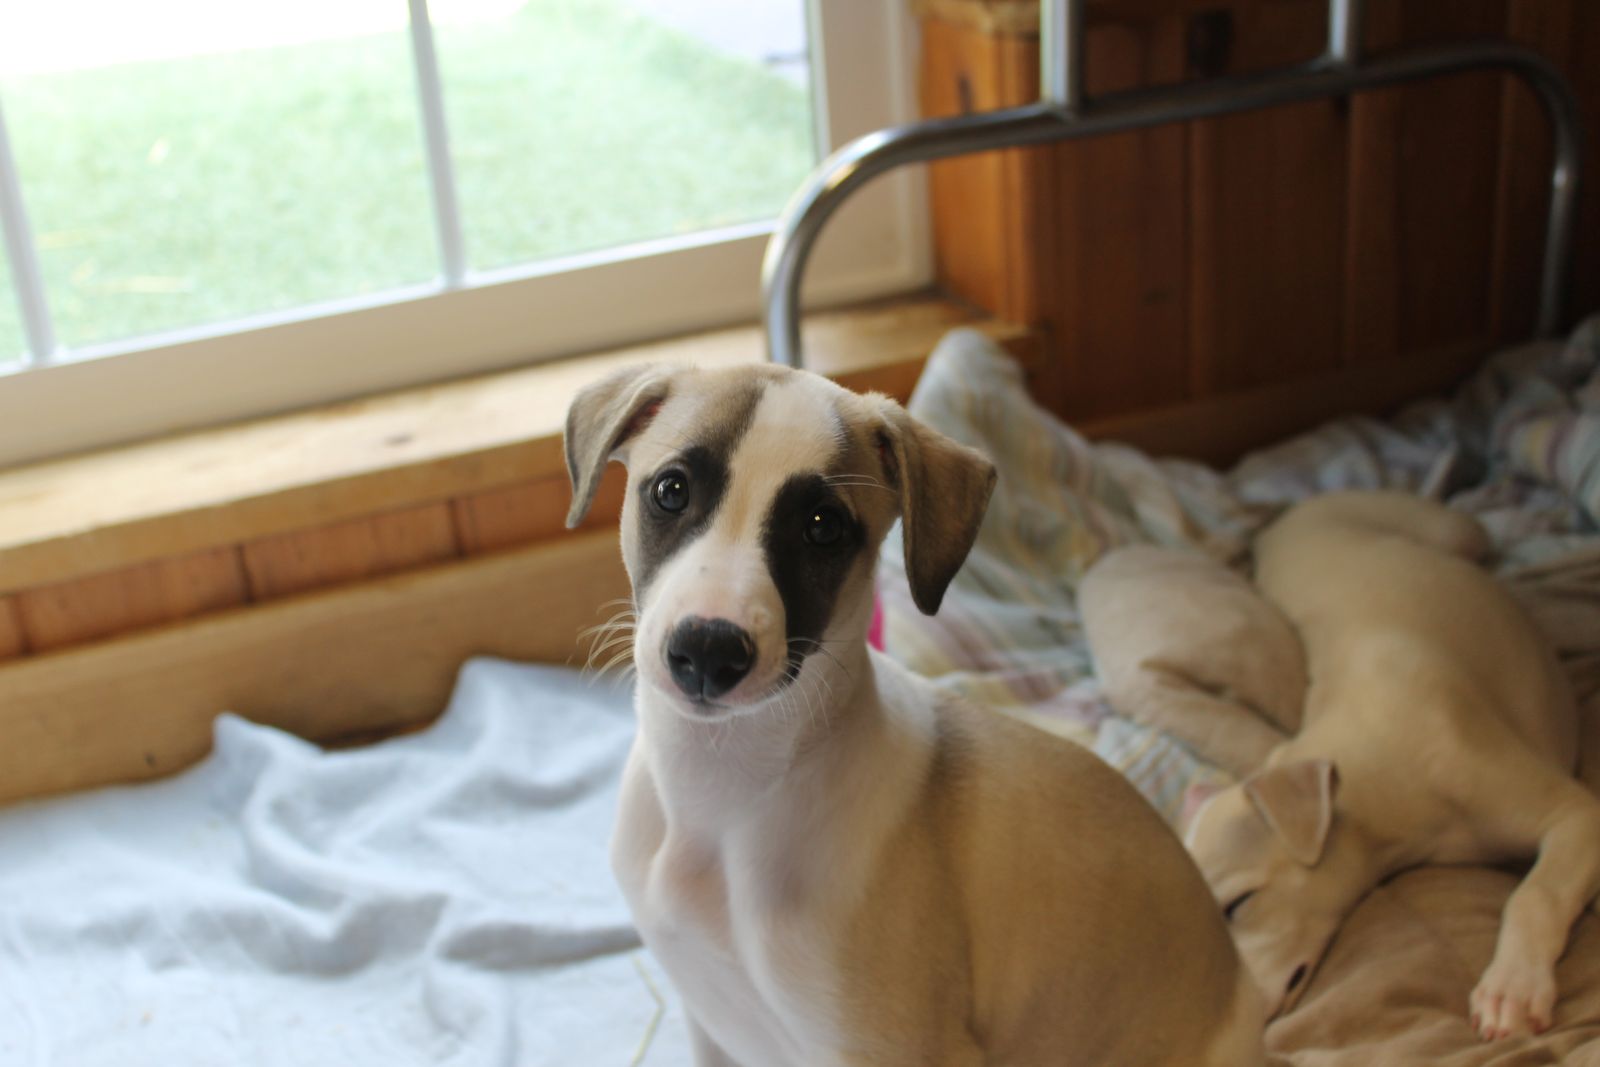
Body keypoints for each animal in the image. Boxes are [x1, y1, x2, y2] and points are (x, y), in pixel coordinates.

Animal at [1183, 490, 1600, 1040]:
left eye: (1237, 905)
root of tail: (1291, 513)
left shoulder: (1572, 813)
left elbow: (1536, 893)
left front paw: (1512, 986)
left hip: (1446, 527)